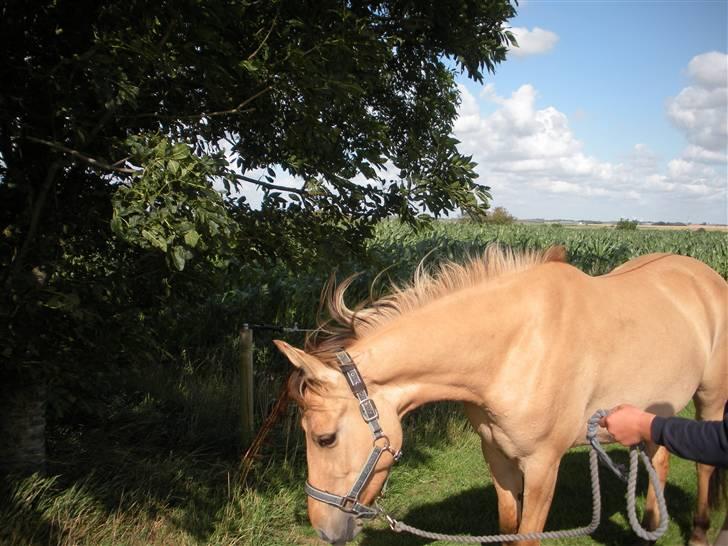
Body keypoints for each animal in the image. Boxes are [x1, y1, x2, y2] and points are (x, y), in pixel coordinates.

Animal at [276, 244, 724, 540]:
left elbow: (526, 535)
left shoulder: (543, 466)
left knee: (704, 465)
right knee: (658, 461)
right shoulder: (498, 456)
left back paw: (699, 532)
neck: (517, 346)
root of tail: (704, 276)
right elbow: (507, 527)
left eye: (325, 439)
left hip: (711, 399)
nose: (323, 528)